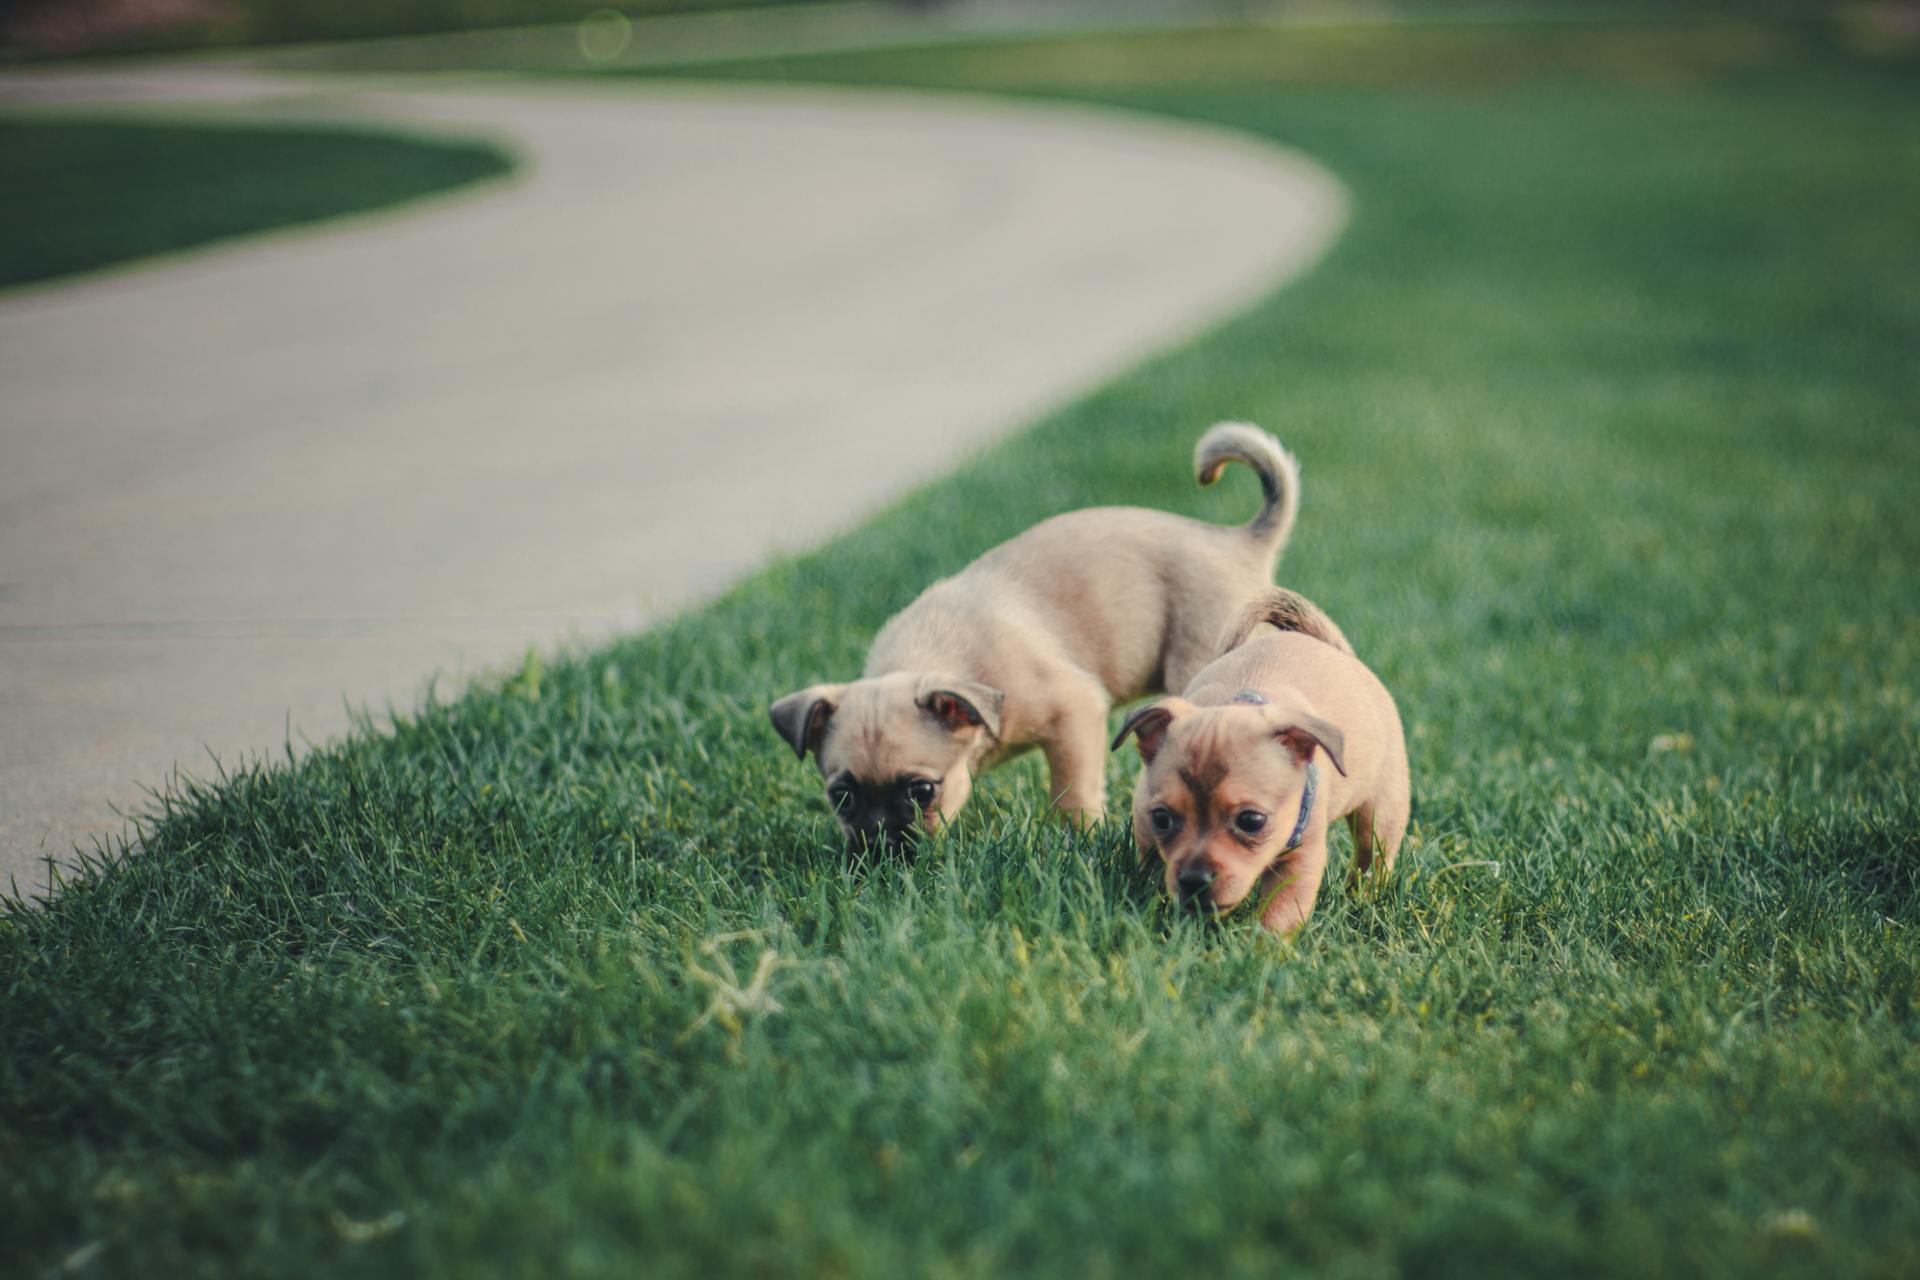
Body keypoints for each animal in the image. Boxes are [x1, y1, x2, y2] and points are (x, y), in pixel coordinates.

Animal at [771, 426, 1297, 855]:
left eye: (923, 791)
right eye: (841, 796)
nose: (878, 841)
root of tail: (1239, 542)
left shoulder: (1074, 715)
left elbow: (1073, 791)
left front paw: (1078, 836)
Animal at [1113, 587, 1413, 932]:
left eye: (1251, 821)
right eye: (1162, 818)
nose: (1194, 880)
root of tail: (1336, 650)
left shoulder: (1300, 860)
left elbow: (1279, 912)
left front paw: (1262, 942)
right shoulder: (1144, 820)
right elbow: (1150, 862)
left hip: (1381, 812)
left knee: (1373, 856)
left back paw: (1362, 897)